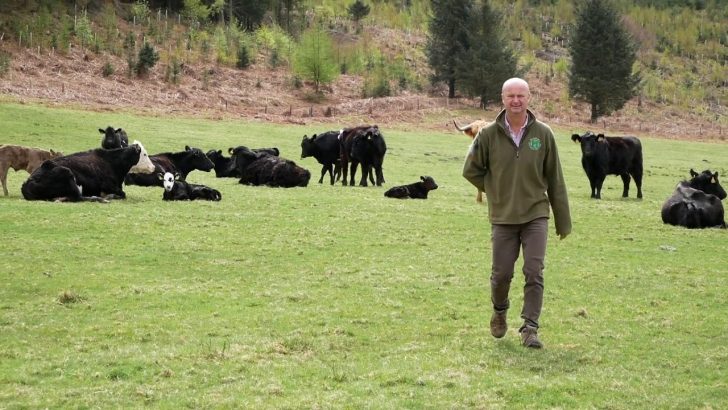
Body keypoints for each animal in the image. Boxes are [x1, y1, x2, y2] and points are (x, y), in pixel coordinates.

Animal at [21, 140, 155, 201]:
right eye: (144, 154)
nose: (153, 167)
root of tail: (28, 182)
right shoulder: (108, 186)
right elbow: (123, 194)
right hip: (66, 172)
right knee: (79, 197)